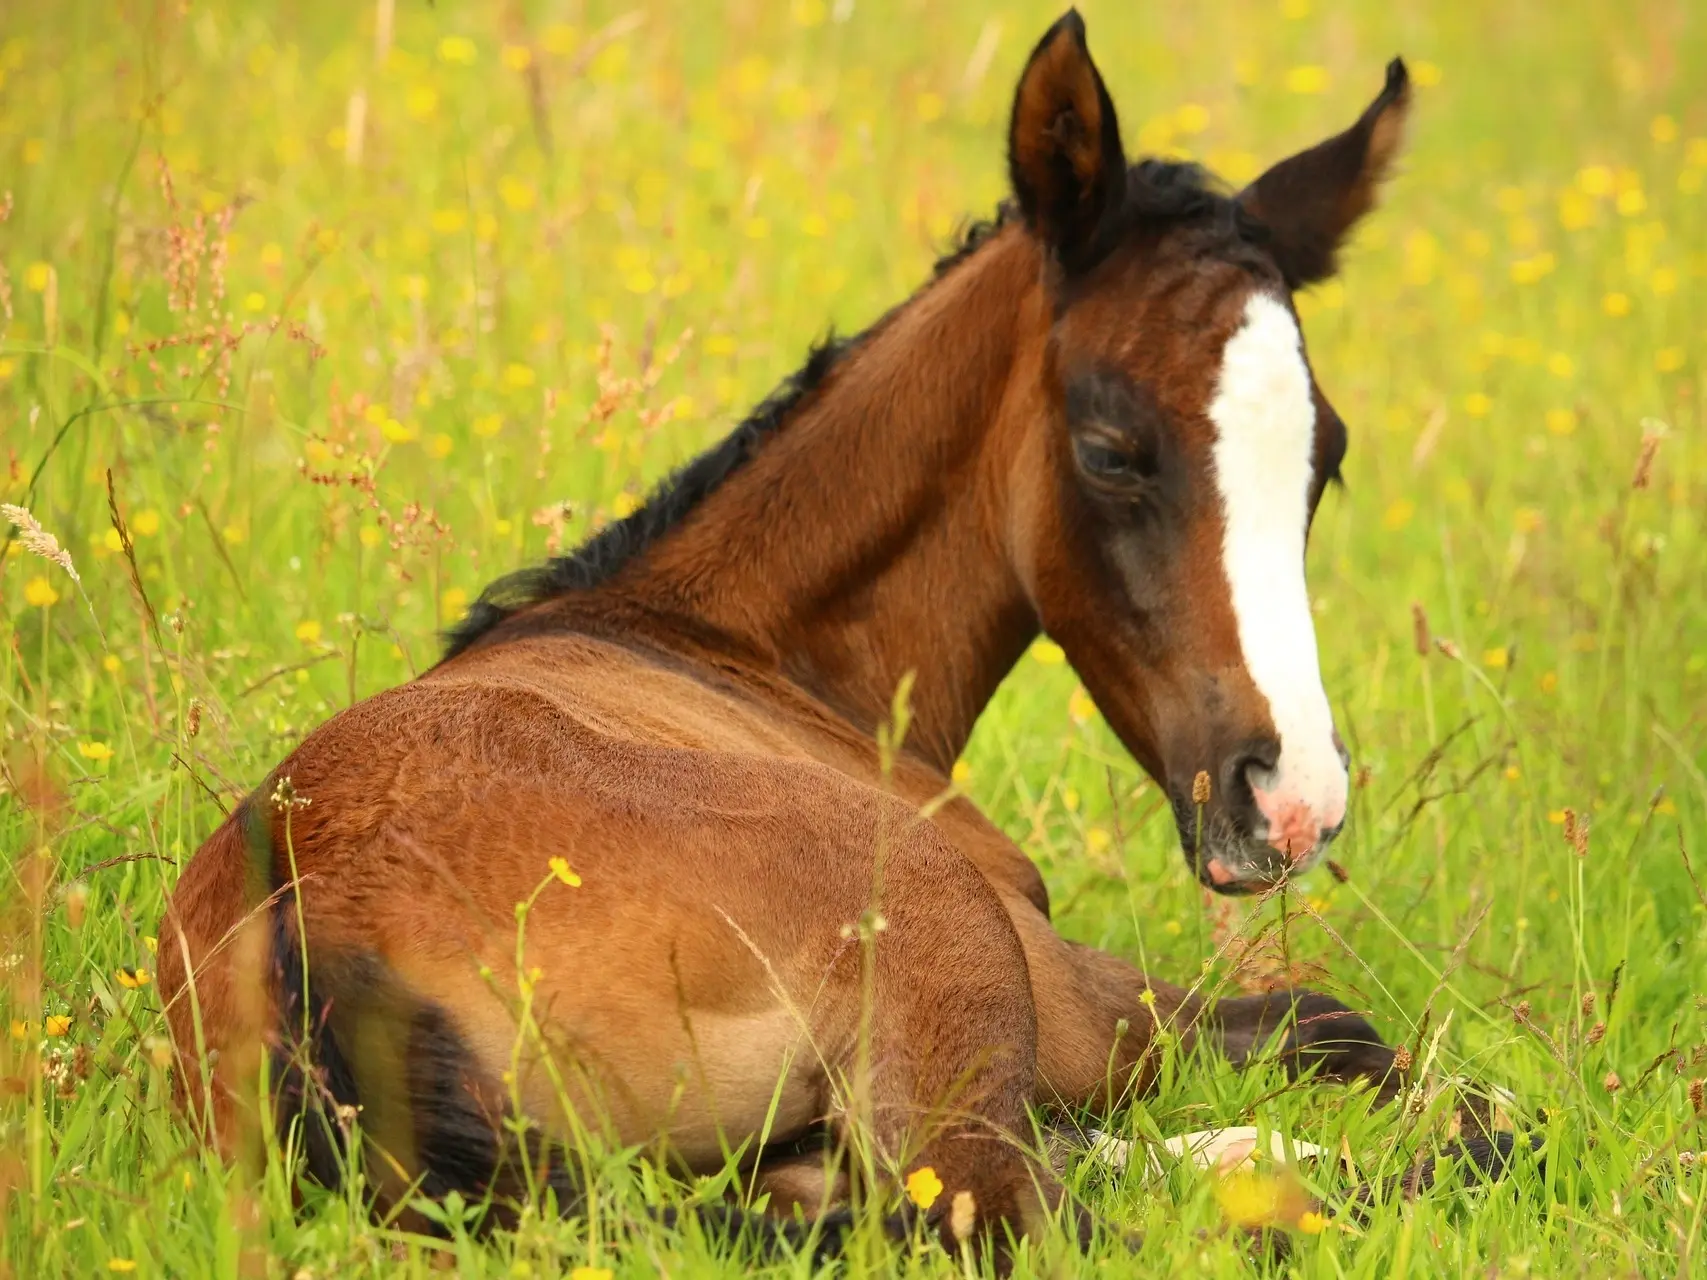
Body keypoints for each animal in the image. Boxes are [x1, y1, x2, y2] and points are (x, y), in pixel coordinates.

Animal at [163, 10, 1440, 1269]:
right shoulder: (1078, 1004)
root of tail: (309, 945)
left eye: (1325, 455)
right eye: (1111, 448)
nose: (1292, 802)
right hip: (944, 942)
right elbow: (1333, 1024)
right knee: (1016, 1214)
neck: (741, 649)